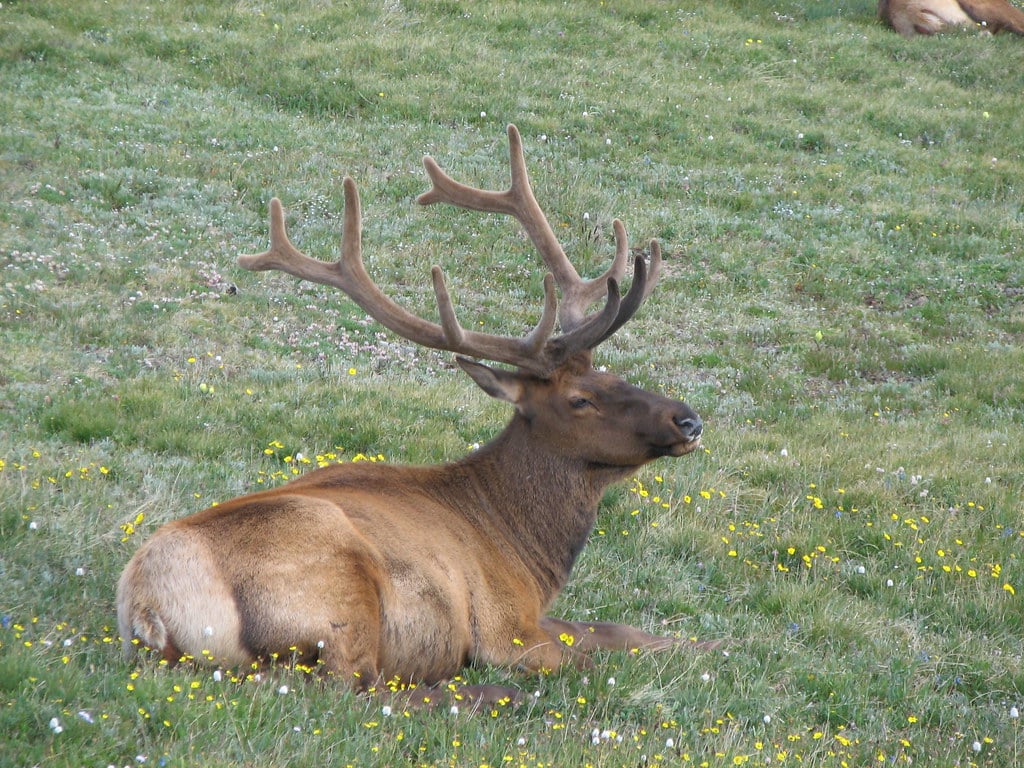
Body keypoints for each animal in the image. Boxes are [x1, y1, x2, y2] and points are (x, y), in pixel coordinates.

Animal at [116, 125, 708, 706]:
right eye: (579, 399)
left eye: (611, 373)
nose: (688, 420)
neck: (525, 552)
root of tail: (147, 606)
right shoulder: (506, 625)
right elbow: (589, 655)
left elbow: (621, 630)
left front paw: (705, 642)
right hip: (339, 592)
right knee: (357, 688)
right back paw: (490, 693)